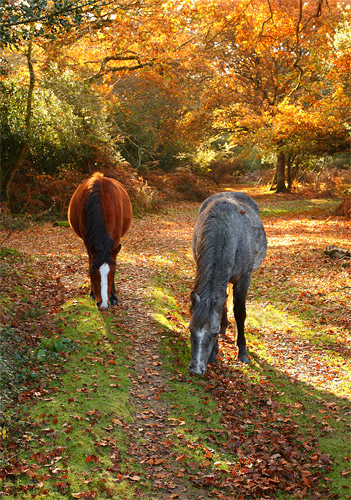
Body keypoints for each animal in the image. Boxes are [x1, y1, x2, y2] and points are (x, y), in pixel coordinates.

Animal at [68, 173, 133, 308]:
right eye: (92, 272)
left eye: (113, 273)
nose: (102, 304)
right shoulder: (88, 242)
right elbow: (90, 261)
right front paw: (92, 293)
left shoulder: (115, 239)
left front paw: (113, 296)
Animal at [190, 191, 266, 376]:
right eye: (190, 329)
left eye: (212, 333)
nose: (196, 369)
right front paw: (214, 352)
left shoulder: (244, 278)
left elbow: (239, 312)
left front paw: (242, 351)